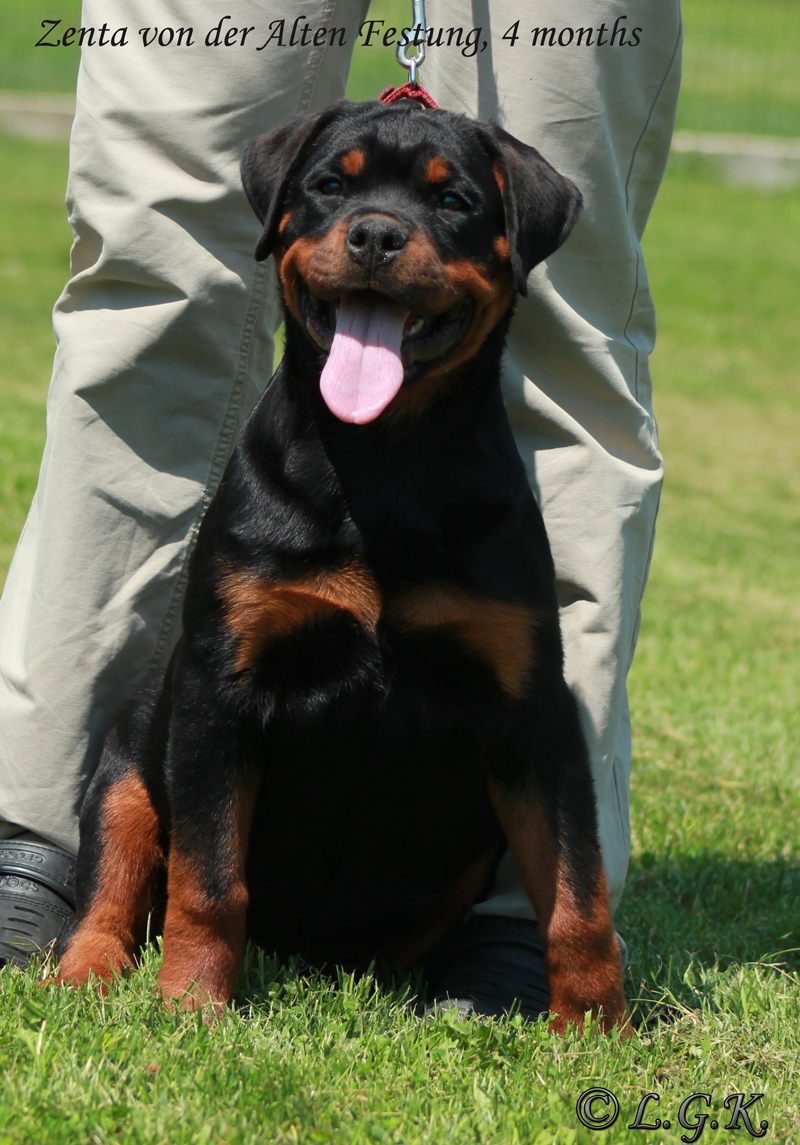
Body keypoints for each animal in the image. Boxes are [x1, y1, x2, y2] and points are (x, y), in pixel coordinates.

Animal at [57, 96, 631, 1030]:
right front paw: (191, 1009)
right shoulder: (221, 691)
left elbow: (580, 894)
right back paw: (82, 975)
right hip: (129, 757)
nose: (375, 235)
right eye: (331, 185)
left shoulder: (534, 710)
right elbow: (209, 879)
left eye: (454, 200)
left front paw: (595, 1028)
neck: (381, 460)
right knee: (112, 874)